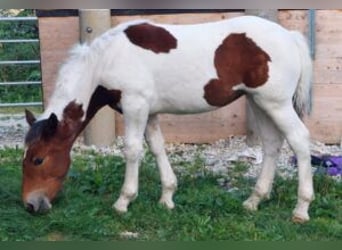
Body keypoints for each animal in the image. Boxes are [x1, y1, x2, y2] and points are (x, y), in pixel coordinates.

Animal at [22, 16, 314, 223]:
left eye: (38, 159)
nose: (30, 204)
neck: (106, 60)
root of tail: (290, 36)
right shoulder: (149, 113)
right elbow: (157, 148)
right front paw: (167, 197)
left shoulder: (135, 107)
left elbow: (132, 150)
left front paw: (123, 201)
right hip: (259, 102)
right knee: (272, 144)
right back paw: (254, 201)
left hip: (275, 104)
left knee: (299, 140)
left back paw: (301, 209)